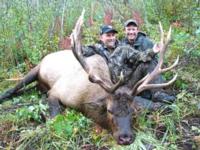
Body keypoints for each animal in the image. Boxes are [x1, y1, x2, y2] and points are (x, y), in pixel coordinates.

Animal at [0, 10, 178, 145]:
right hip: (37, 69)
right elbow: (55, 116)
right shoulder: (56, 91)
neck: (84, 100)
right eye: (109, 110)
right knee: (14, 88)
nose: (126, 138)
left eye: (132, 110)